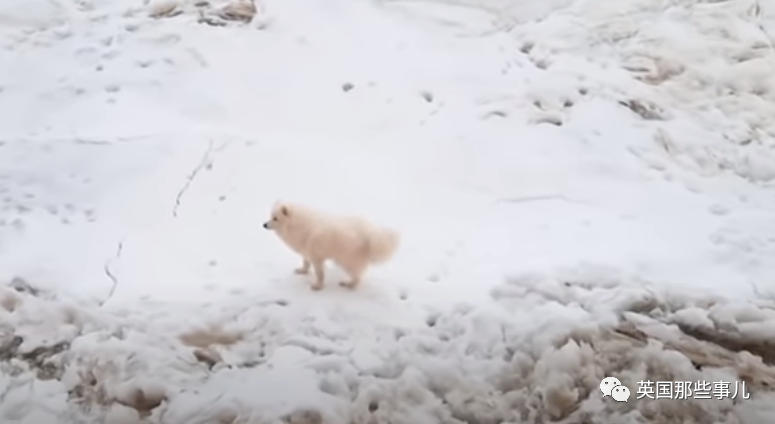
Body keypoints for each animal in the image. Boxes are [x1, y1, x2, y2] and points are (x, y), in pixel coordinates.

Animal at [266, 200, 404, 290]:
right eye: (270, 216)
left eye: (275, 218)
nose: (264, 225)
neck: (298, 225)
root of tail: (370, 233)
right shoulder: (307, 252)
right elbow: (305, 263)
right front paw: (303, 271)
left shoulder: (317, 258)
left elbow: (320, 274)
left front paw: (318, 286)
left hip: (346, 261)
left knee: (358, 277)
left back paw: (349, 285)